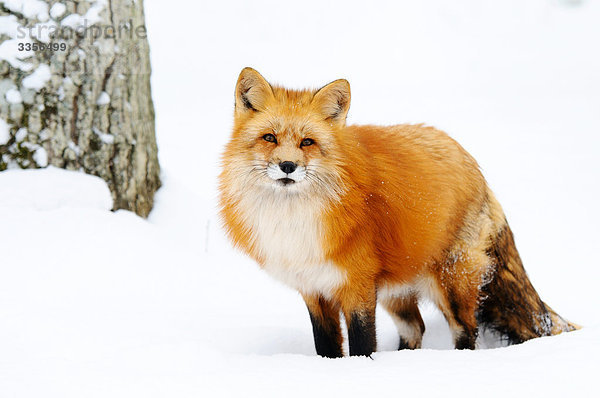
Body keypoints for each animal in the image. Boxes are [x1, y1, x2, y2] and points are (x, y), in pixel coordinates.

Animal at [218, 67, 580, 358]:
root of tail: (471, 161)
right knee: (415, 328)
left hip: (452, 282)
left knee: (466, 331)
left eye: (307, 142)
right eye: (269, 137)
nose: (288, 166)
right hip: (398, 289)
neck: (294, 220)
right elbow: (327, 346)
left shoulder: (358, 286)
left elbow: (363, 343)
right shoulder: (314, 289)